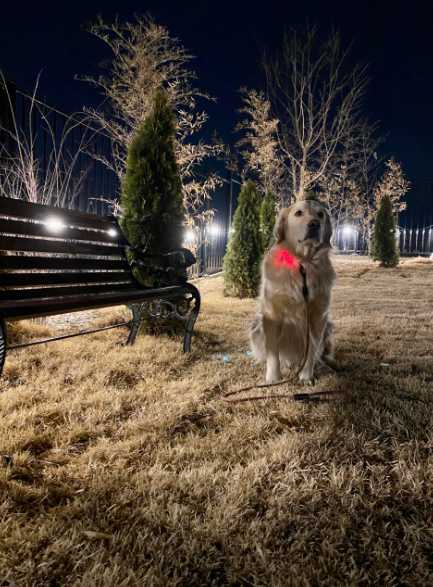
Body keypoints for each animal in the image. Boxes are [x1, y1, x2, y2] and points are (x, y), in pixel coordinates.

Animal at [248, 198, 336, 386]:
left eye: (321, 214)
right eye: (299, 213)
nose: (314, 224)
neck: (302, 263)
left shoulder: (318, 316)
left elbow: (312, 350)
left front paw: (306, 376)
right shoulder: (272, 313)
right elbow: (272, 352)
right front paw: (273, 377)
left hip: (329, 327)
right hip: (256, 325)